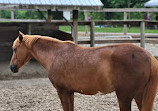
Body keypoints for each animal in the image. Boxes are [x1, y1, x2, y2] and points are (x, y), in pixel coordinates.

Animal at [10, 31, 158, 111]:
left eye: (15, 49)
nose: (12, 67)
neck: (55, 55)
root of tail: (148, 56)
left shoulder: (62, 92)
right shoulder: (69, 92)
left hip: (125, 96)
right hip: (139, 95)